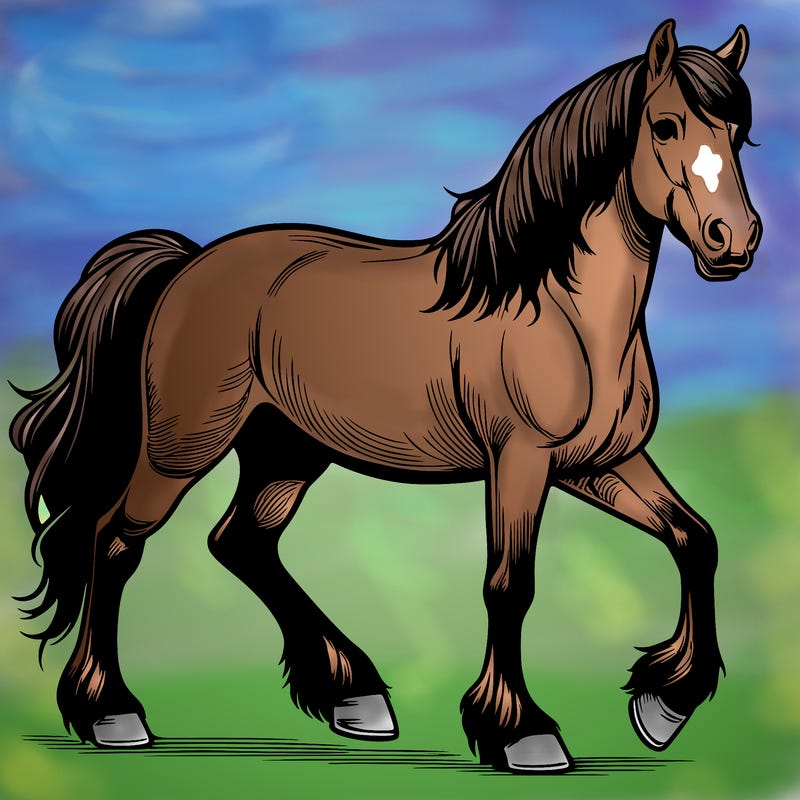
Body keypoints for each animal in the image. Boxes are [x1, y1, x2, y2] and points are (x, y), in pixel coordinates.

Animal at [10, 19, 760, 773]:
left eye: (738, 131)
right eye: (665, 125)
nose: (735, 240)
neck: (559, 312)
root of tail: (187, 265)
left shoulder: (599, 462)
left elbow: (696, 538)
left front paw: (663, 705)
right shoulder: (520, 460)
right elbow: (509, 584)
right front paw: (522, 733)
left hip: (286, 451)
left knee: (241, 542)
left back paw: (355, 696)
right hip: (182, 446)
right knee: (114, 542)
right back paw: (112, 714)